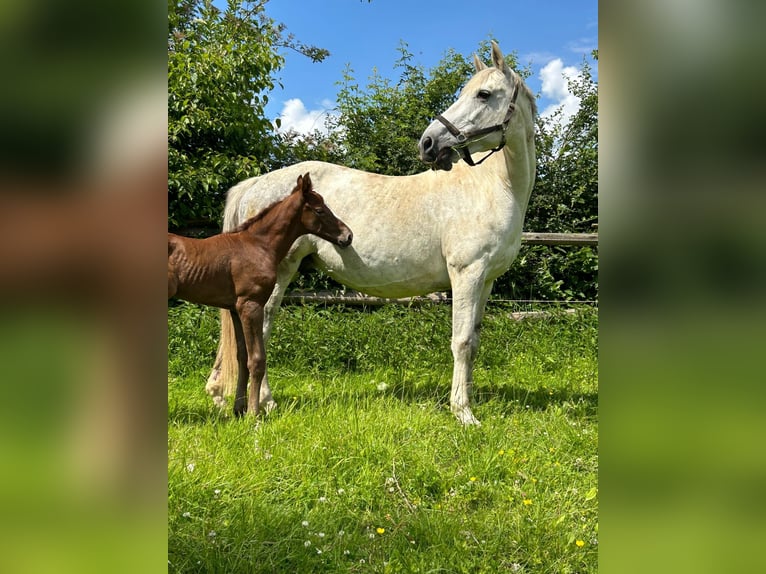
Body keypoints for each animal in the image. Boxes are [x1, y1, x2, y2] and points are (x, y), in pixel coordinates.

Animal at [168, 172, 354, 418]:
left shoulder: (235, 309)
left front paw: (239, 409)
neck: (258, 245)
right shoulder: (251, 305)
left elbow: (242, 357)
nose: (348, 236)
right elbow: (257, 359)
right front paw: (254, 413)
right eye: (320, 210)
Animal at [207, 40, 536, 426]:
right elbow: (462, 341)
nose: (428, 143)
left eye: (484, 95)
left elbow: (475, 341)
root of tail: (256, 184)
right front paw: (463, 412)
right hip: (278, 274)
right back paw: (264, 402)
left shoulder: (485, 280)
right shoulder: (466, 274)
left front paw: (467, 403)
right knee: (259, 331)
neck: (493, 187)